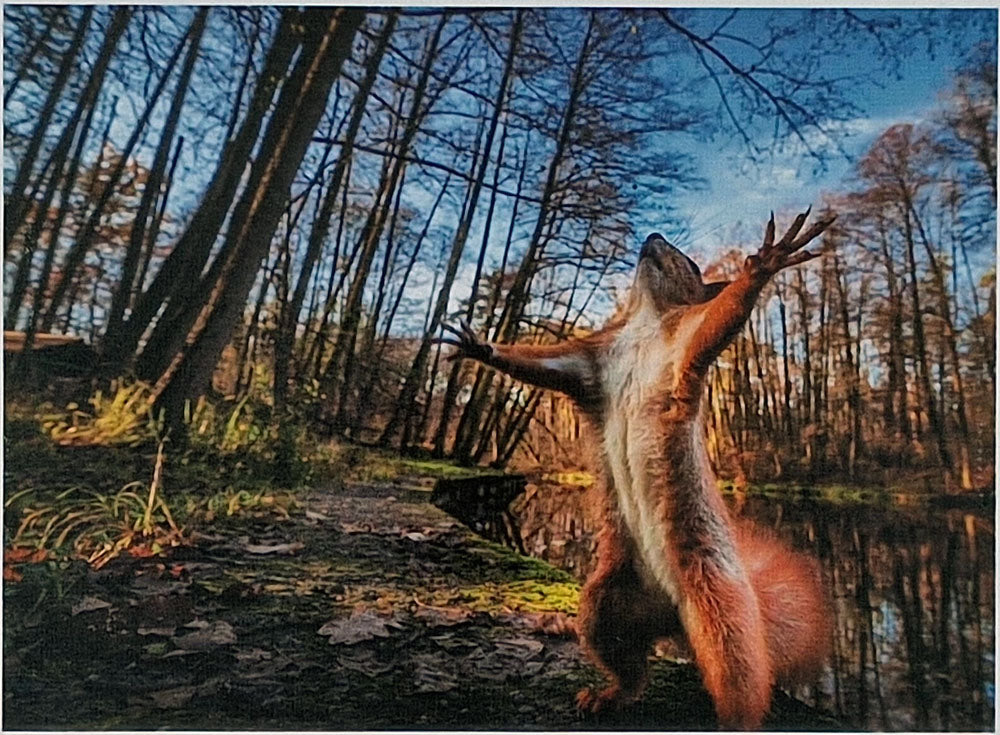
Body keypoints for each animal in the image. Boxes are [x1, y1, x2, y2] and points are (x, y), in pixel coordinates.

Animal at [440, 209, 835, 729]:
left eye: (689, 262)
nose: (652, 237)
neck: (646, 322)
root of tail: (673, 617)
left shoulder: (688, 342)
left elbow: (723, 318)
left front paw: (764, 264)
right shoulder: (592, 364)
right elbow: (543, 367)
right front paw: (480, 346)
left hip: (723, 613)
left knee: (740, 683)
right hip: (607, 602)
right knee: (630, 666)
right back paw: (608, 697)